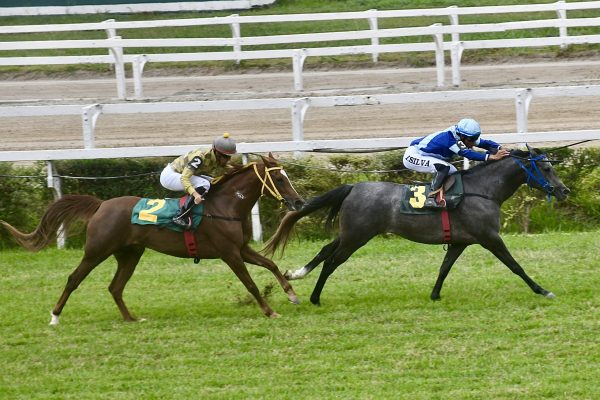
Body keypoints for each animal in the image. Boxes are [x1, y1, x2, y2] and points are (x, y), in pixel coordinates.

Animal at [2, 154, 304, 324]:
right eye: (279, 179)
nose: (299, 202)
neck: (226, 206)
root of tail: (101, 205)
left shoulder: (240, 248)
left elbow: (271, 265)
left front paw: (291, 293)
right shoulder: (229, 253)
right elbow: (250, 284)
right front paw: (269, 311)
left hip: (130, 253)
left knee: (115, 287)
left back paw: (130, 319)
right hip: (96, 250)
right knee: (74, 279)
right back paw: (55, 317)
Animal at [264, 148, 568, 306]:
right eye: (547, 168)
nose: (564, 191)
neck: (482, 191)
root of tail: (353, 187)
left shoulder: (460, 241)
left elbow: (444, 268)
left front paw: (434, 294)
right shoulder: (490, 237)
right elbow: (515, 266)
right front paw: (542, 290)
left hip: (350, 234)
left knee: (325, 251)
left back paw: (297, 275)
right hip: (357, 237)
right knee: (332, 261)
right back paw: (315, 297)